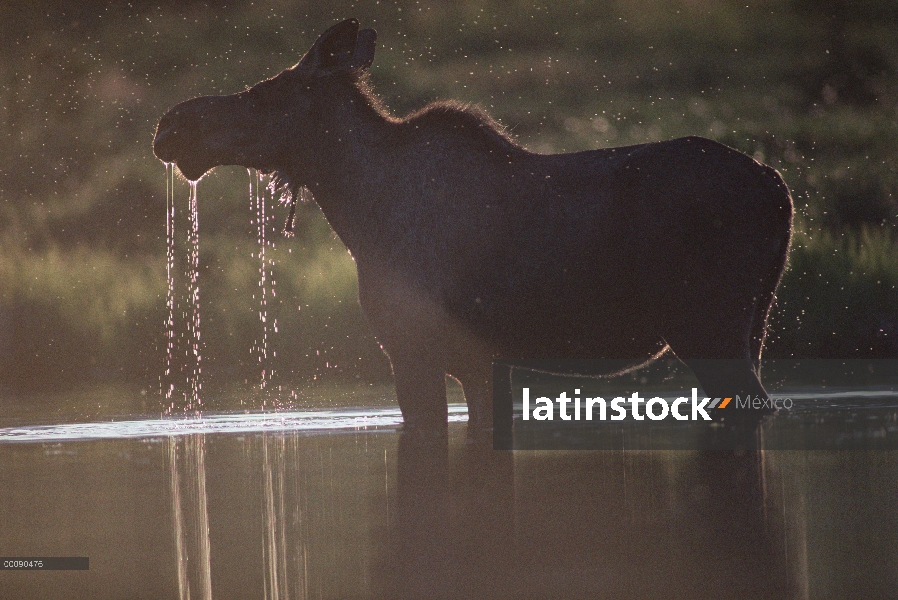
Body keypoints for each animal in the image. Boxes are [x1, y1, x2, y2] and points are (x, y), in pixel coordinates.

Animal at [152, 18, 792, 436]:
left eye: (264, 92)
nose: (170, 125)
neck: (358, 209)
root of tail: (776, 185)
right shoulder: (482, 360)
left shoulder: (414, 345)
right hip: (755, 320)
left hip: (708, 323)